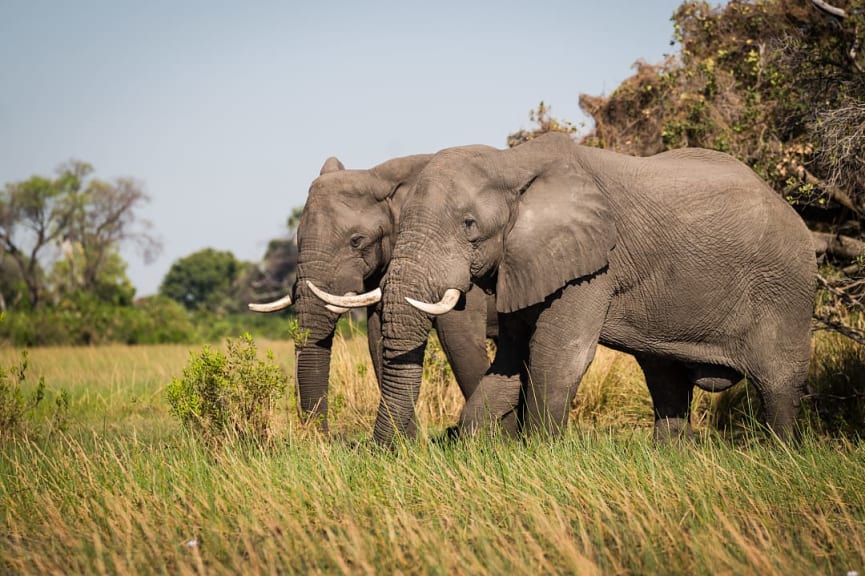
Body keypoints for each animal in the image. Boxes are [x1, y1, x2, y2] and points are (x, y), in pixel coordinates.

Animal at [246, 153, 496, 432]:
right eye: (297, 241)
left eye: (357, 241)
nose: (323, 437)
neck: (382, 177)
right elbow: (378, 337)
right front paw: (404, 441)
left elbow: (459, 338)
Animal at [360, 132, 816, 446]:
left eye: (469, 225)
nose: (383, 453)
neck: (512, 162)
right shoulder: (525, 262)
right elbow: (510, 360)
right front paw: (476, 447)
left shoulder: (594, 265)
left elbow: (557, 355)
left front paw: (538, 454)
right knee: (664, 375)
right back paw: (669, 457)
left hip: (787, 288)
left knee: (778, 381)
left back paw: (777, 456)